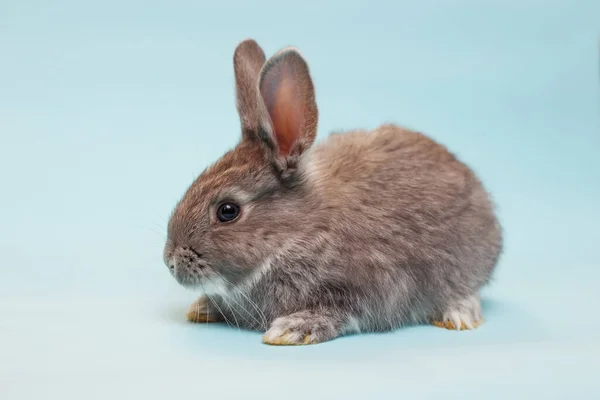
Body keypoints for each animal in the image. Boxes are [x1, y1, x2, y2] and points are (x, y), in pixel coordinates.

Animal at [163, 39, 502, 346]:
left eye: (228, 211)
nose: (170, 261)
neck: (299, 233)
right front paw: (202, 307)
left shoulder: (369, 289)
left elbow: (343, 312)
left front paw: (292, 329)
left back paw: (459, 315)